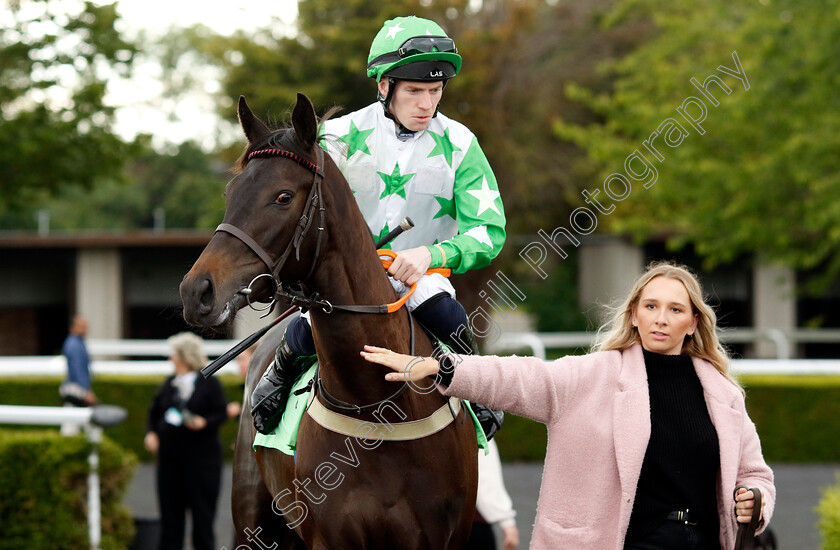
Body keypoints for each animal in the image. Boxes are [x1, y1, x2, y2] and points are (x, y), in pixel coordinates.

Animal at [179, 92, 480, 548]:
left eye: (283, 197)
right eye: (231, 191)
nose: (196, 291)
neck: (379, 409)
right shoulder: (329, 536)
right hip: (253, 516)